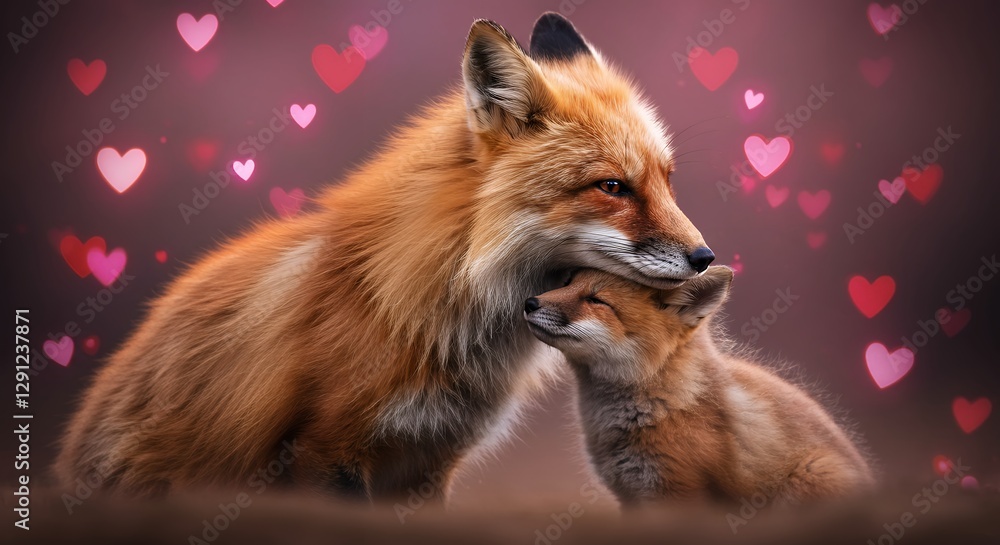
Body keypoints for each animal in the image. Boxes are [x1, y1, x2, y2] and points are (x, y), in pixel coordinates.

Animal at [524, 267, 875, 506]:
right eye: (567, 283)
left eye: (596, 300)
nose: (529, 302)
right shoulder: (632, 497)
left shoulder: (678, 494)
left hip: (809, 478)